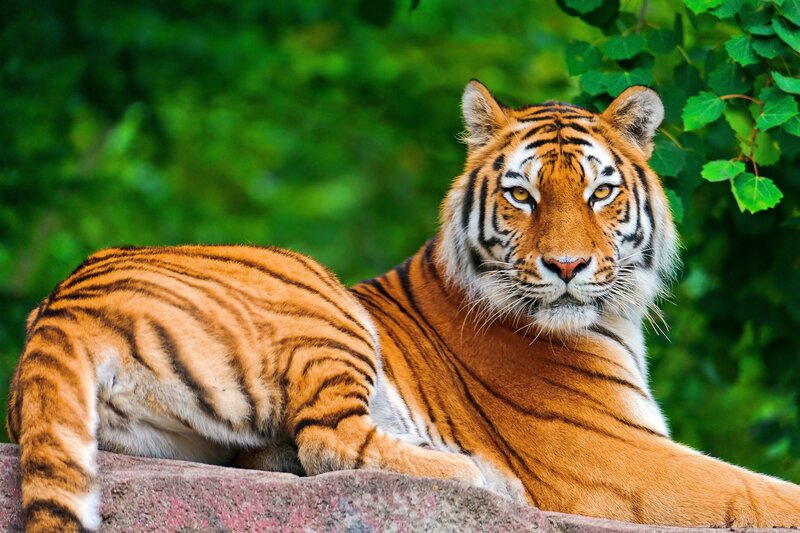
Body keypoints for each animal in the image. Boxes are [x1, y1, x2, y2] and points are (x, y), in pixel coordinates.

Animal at [7, 81, 800, 533]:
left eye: (600, 191)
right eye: (522, 195)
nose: (568, 267)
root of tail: (62, 303)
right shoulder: (614, 456)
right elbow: (763, 493)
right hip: (318, 298)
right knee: (330, 440)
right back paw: (482, 480)